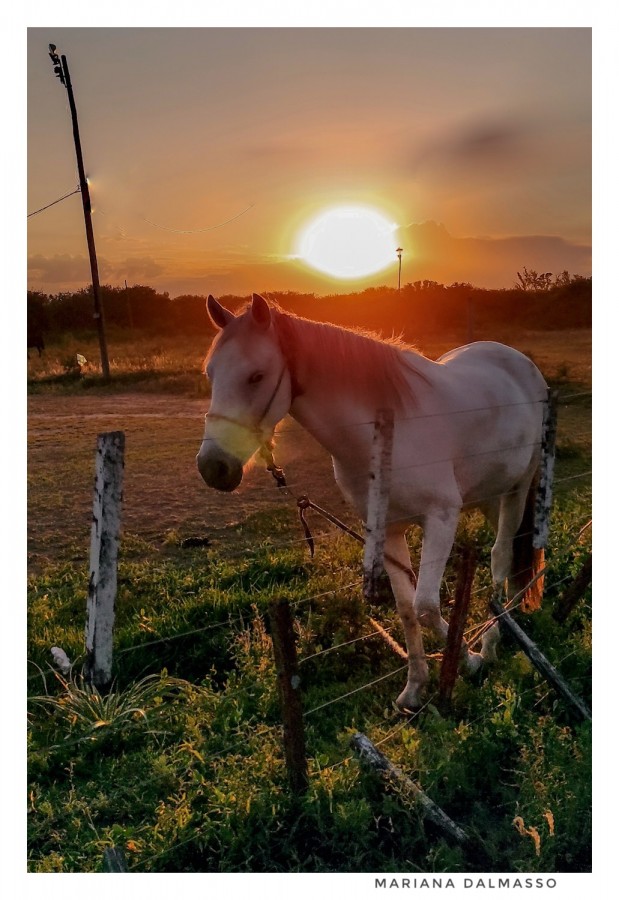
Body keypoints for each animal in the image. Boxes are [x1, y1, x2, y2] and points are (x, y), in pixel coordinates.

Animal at [197, 296, 548, 712]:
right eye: (210, 374)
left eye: (256, 376)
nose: (213, 467)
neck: (383, 436)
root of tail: (520, 362)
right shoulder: (387, 530)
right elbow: (408, 610)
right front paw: (415, 687)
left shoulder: (441, 517)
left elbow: (427, 607)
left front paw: (470, 661)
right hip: (490, 495)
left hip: (518, 488)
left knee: (501, 556)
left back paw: (492, 643)